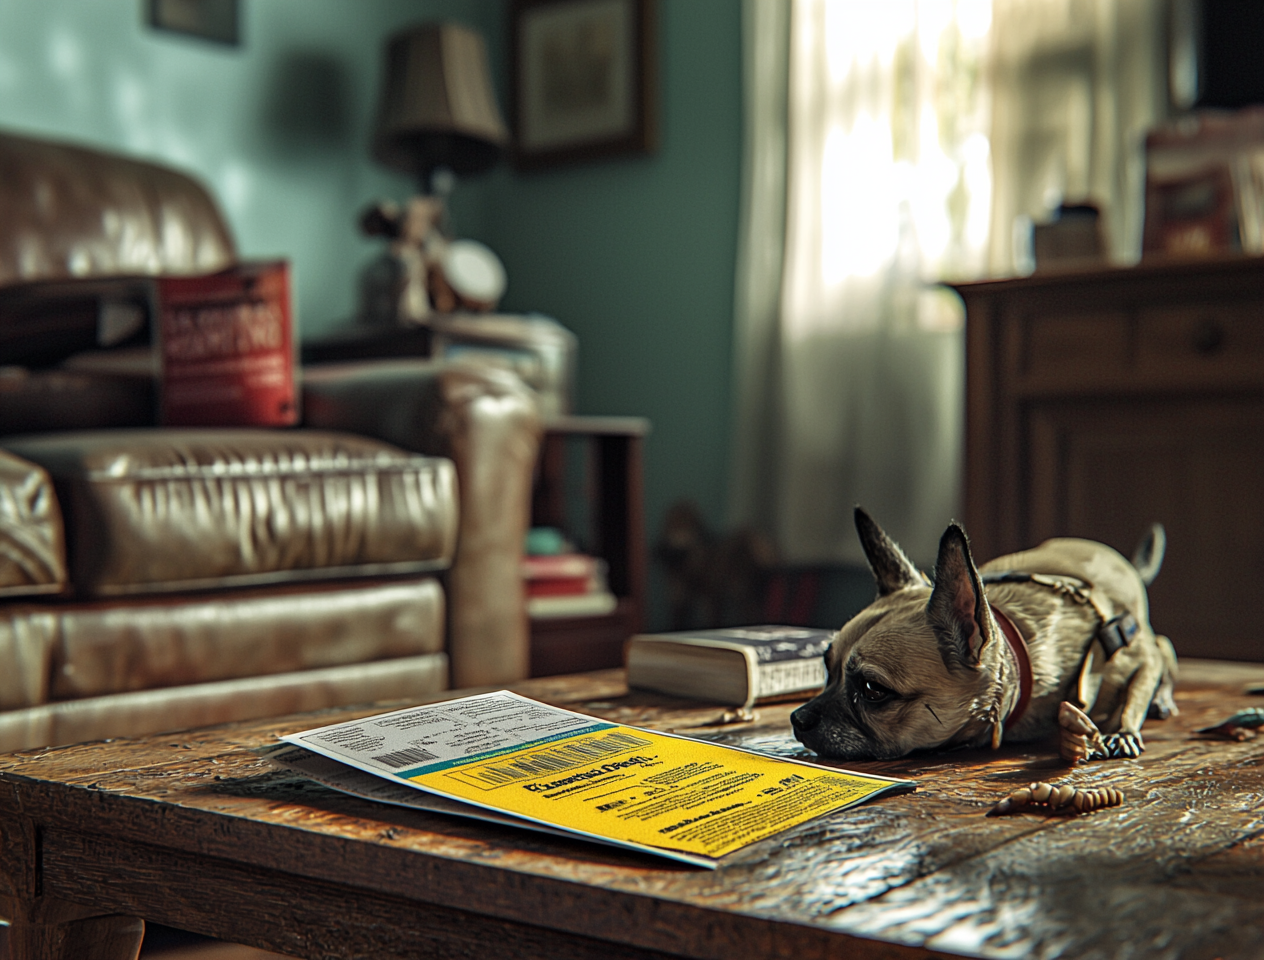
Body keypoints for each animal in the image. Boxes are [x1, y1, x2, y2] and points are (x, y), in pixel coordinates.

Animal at [793, 505, 1178, 763]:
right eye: (827, 669)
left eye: (873, 689)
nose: (796, 718)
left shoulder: (1137, 654)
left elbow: (1137, 691)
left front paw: (1123, 729)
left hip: (1150, 641)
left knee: (1164, 651)